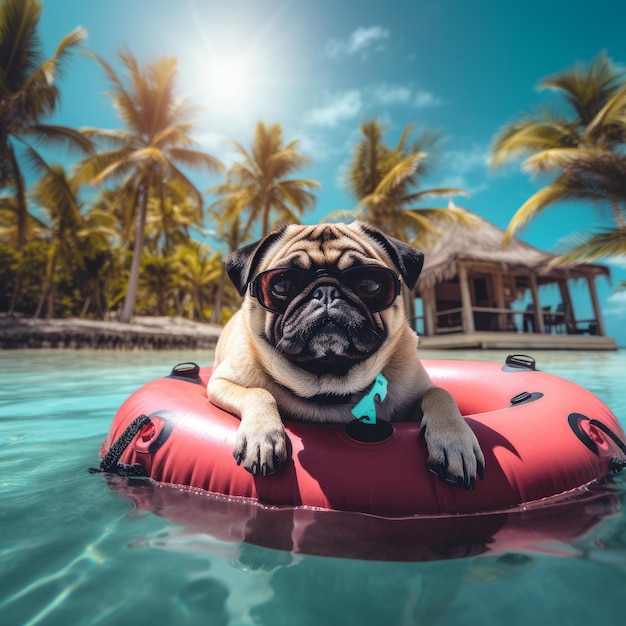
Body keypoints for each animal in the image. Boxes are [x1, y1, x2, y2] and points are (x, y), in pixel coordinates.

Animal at [206, 219, 482, 488]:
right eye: (281, 285)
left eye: (370, 284)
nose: (326, 292)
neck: (331, 385)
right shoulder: (221, 383)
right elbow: (259, 393)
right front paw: (262, 436)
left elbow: (439, 393)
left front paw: (454, 441)